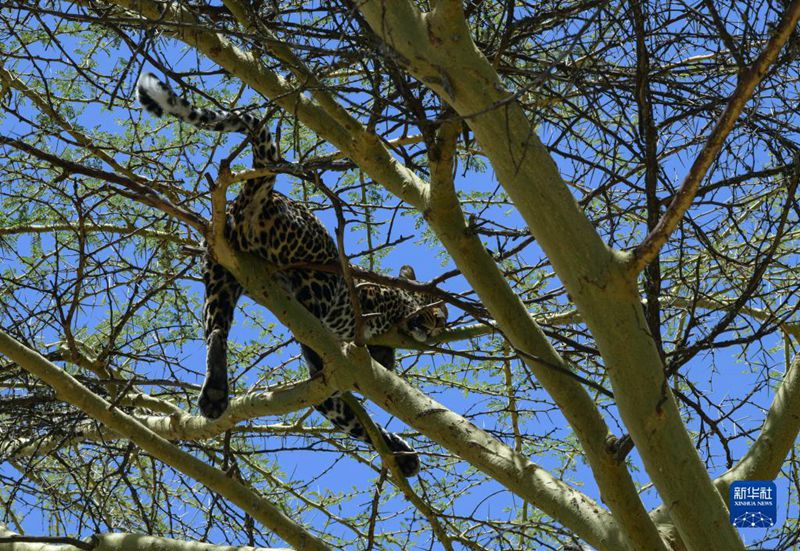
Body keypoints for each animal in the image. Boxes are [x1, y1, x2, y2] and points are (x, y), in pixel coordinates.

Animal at [135, 74, 446, 478]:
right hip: (315, 272)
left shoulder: (336, 393)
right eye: (435, 307)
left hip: (219, 271)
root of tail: (258, 201)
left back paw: (216, 391)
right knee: (306, 323)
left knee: (216, 329)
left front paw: (399, 451)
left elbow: (353, 419)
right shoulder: (375, 300)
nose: (439, 325)